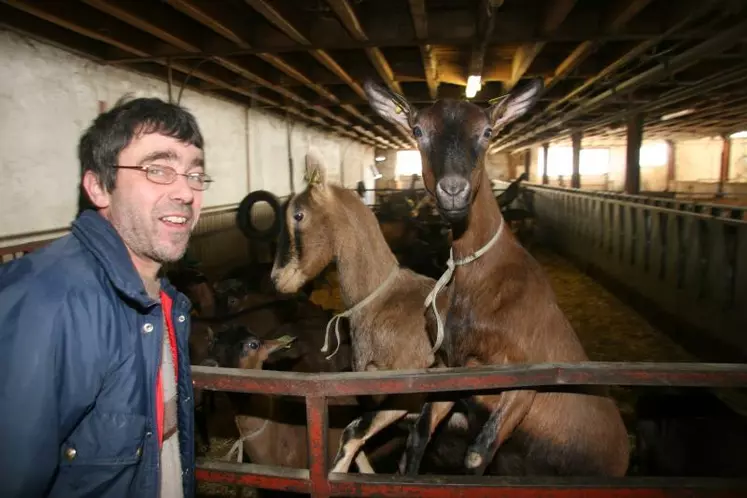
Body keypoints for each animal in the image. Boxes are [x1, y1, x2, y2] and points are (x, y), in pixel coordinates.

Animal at [366, 76, 632, 476]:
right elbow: (420, 436)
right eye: (417, 130)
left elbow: (478, 454)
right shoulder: (451, 368)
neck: (478, 279)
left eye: (488, 131)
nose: (454, 190)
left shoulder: (525, 377)